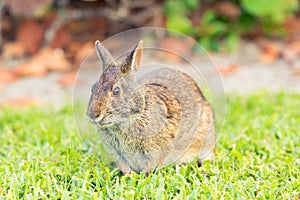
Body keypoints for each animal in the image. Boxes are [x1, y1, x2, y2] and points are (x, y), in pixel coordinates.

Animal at [86, 39, 216, 174]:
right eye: (93, 88)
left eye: (116, 91)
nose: (92, 115)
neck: (138, 113)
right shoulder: (119, 155)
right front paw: (128, 176)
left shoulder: (156, 151)